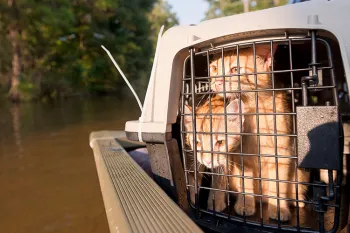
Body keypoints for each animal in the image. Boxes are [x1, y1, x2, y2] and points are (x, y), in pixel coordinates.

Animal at [208, 44, 308, 221]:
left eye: (235, 69)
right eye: (214, 68)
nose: (218, 82)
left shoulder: (281, 156)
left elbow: (278, 185)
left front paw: (279, 208)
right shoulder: (242, 159)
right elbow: (246, 184)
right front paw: (245, 204)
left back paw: (298, 201)